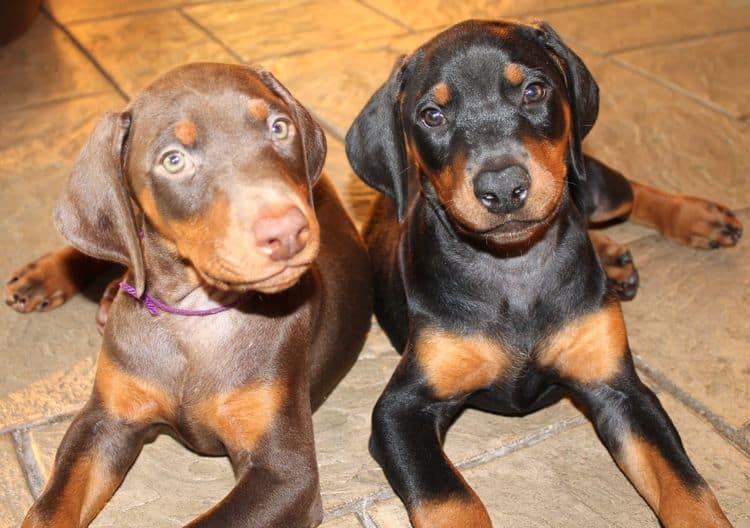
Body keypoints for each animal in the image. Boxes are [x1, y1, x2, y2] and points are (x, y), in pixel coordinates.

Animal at [16, 63, 370, 528]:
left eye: (279, 127)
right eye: (173, 160)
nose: (288, 232)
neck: (194, 315)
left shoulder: (283, 472)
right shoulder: (105, 421)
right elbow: (48, 508)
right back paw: (45, 276)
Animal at [346, 18, 740, 524]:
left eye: (534, 90)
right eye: (432, 115)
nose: (502, 189)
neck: (515, 266)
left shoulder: (621, 390)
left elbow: (686, 485)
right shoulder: (402, 410)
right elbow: (450, 498)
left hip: (592, 180)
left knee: (627, 191)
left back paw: (699, 218)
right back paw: (616, 256)